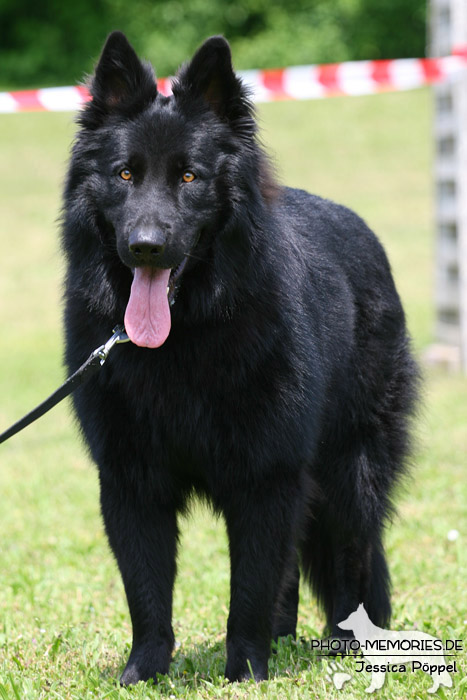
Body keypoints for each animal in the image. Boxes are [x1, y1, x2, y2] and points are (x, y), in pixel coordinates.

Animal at [63, 31, 420, 684]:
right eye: (125, 174)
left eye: (188, 176)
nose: (145, 246)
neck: (183, 341)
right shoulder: (131, 481)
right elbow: (147, 590)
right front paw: (145, 672)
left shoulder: (265, 475)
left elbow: (250, 584)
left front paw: (245, 672)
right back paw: (285, 638)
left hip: (349, 469)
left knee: (353, 553)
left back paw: (347, 640)